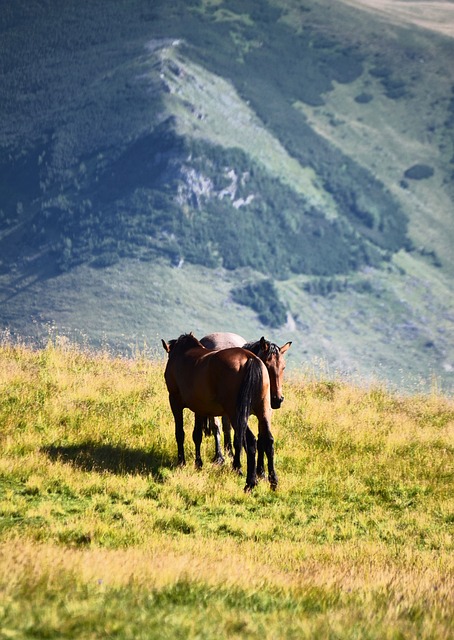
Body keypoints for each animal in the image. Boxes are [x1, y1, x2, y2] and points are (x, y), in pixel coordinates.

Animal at [161, 332, 278, 492]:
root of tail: (250, 359)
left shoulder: (174, 400)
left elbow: (180, 433)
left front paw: (182, 462)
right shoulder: (199, 407)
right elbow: (197, 435)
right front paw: (198, 463)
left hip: (236, 413)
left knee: (250, 441)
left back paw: (250, 482)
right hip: (263, 410)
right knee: (268, 440)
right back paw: (273, 481)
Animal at [200, 330, 292, 470]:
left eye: (284, 367)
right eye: (267, 365)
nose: (277, 400)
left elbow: (260, 438)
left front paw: (260, 469)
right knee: (218, 427)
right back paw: (220, 456)